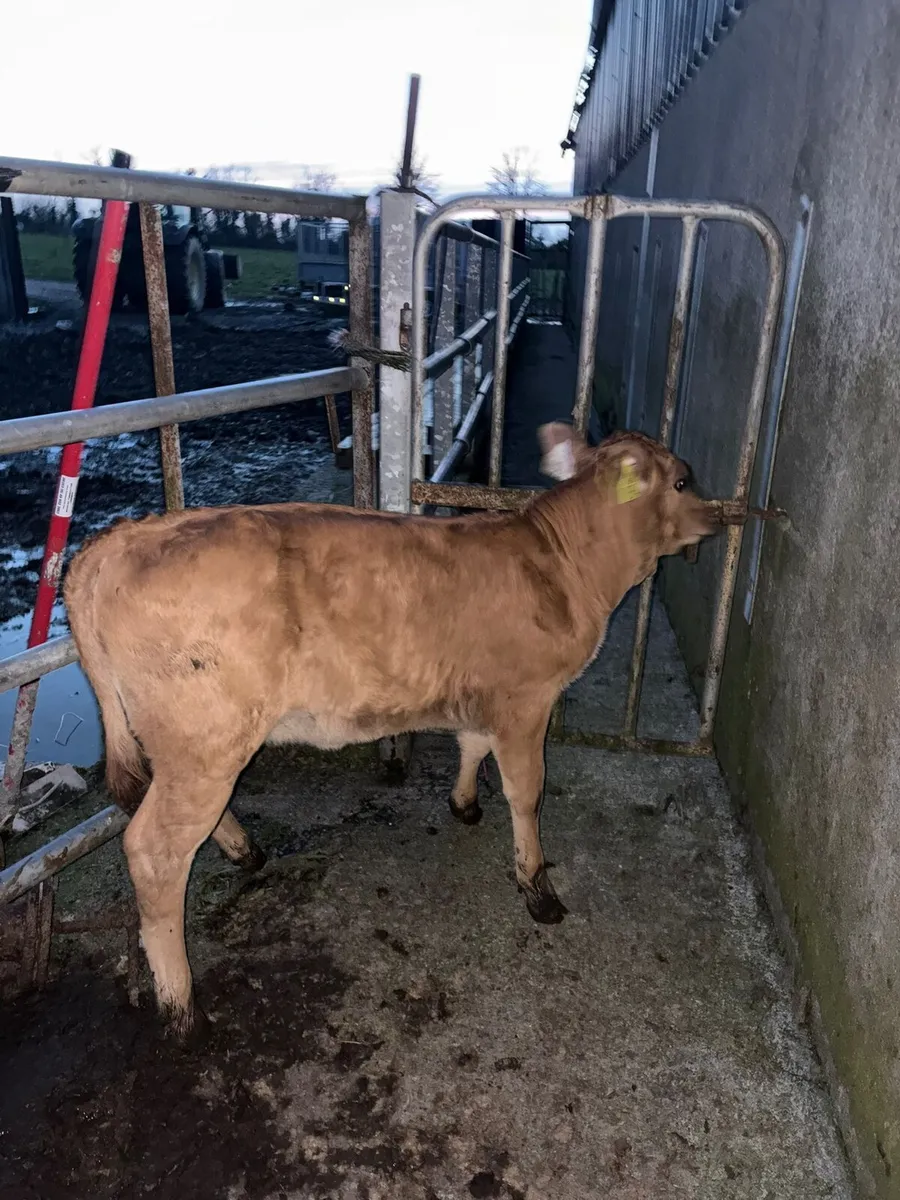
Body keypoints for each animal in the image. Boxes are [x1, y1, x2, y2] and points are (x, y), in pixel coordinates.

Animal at [63, 423, 721, 1043]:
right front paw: (537, 887)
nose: (716, 516)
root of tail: (118, 541)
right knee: (155, 851)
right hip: (205, 741)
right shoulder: (526, 699)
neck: (566, 566)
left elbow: (470, 745)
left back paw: (245, 851)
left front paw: (464, 803)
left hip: (192, 747)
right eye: (682, 480)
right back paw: (182, 1008)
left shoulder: (480, 693)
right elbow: (526, 794)